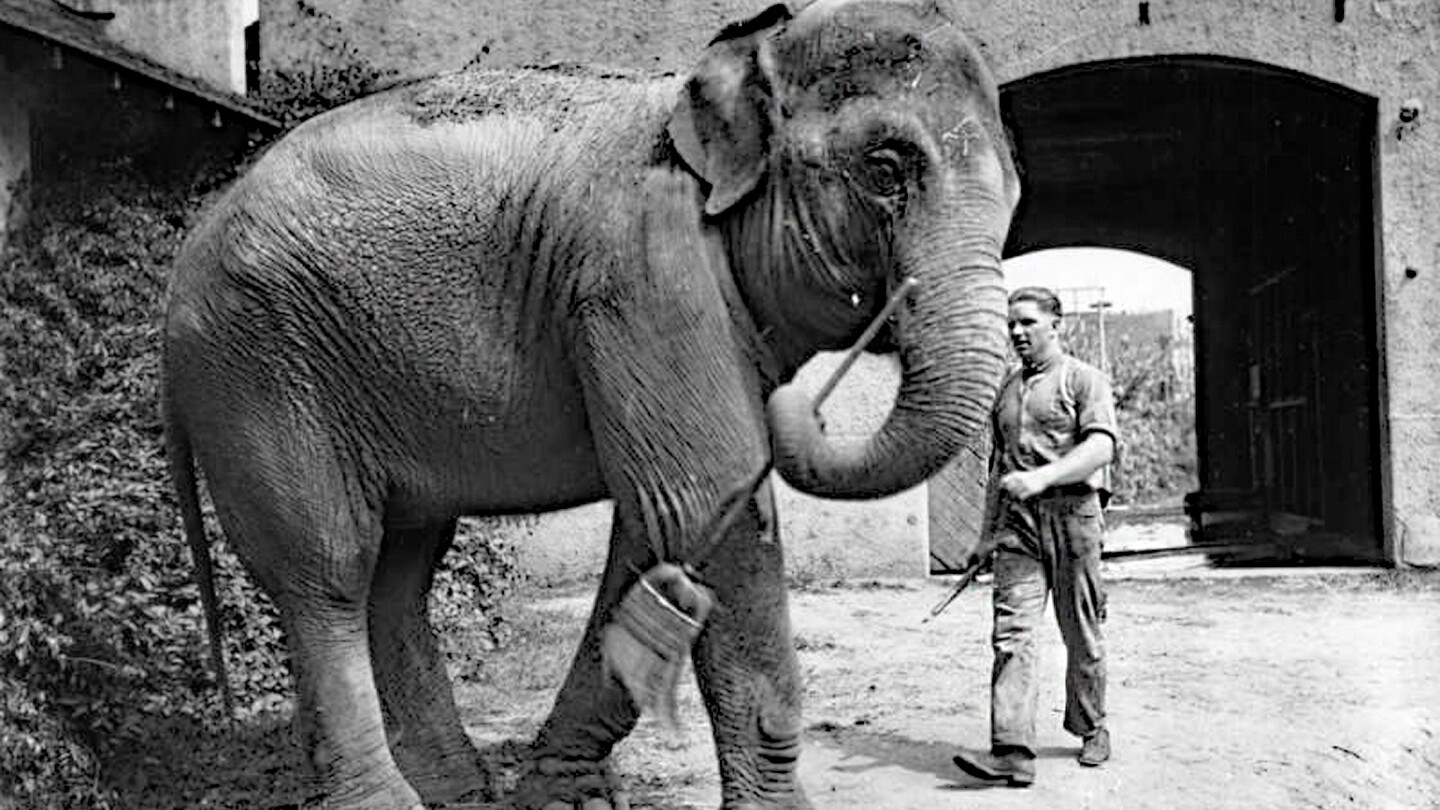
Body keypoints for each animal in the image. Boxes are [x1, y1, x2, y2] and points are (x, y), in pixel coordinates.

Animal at [160, 0, 1020, 807]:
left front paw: (565, 793)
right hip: (261, 370)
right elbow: (705, 499)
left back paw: (458, 790)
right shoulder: (641, 270)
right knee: (329, 569)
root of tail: (185, 259)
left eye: (1014, 193)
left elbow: (657, 523)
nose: (796, 408)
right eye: (886, 167)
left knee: (399, 572)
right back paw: (388, 798)